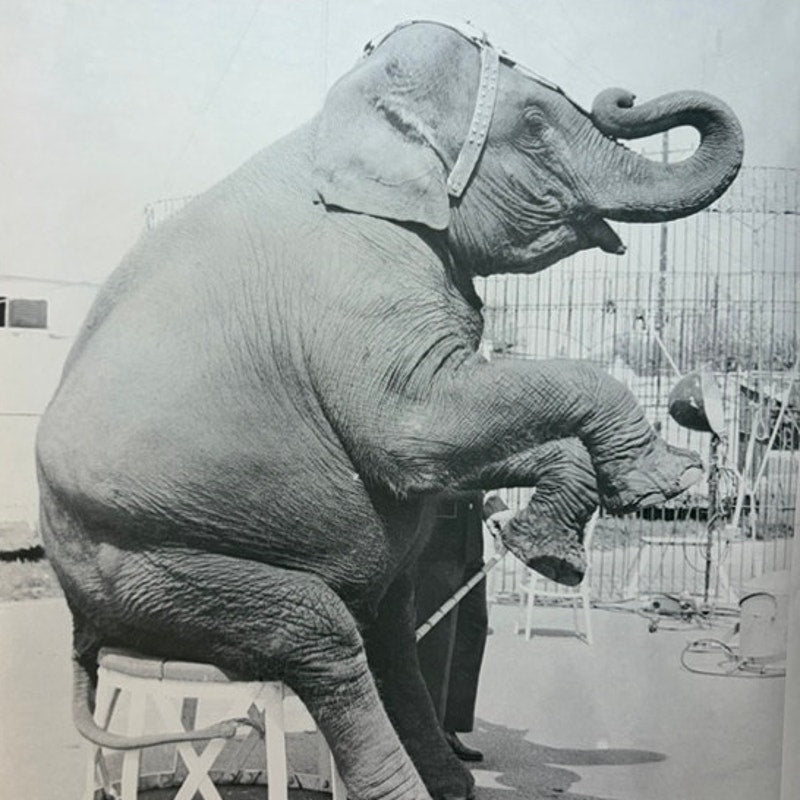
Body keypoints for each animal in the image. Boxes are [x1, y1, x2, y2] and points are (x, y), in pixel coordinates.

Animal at [36, 20, 743, 800]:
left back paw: (451, 780)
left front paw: (544, 552)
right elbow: (412, 432)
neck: (339, 117)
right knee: (320, 634)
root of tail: (85, 630)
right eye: (534, 126)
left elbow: (441, 454)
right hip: (146, 565)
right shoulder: (357, 278)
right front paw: (663, 481)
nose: (624, 93)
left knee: (389, 628)